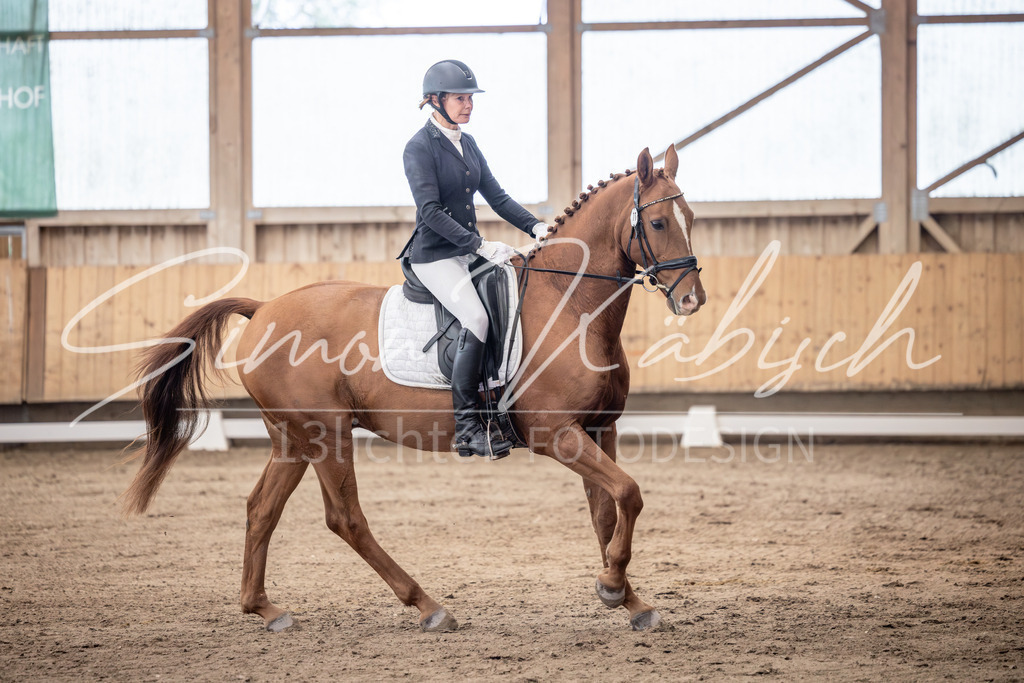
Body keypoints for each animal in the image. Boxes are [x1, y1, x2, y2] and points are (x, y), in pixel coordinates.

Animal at [121, 145, 707, 633]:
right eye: (658, 221)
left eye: (692, 220)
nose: (692, 301)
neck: (570, 304)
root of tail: (264, 308)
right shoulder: (556, 434)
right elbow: (628, 493)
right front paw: (612, 588)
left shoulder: (599, 429)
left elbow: (609, 512)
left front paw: (628, 598)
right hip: (325, 433)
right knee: (345, 518)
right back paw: (428, 607)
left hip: (292, 437)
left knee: (261, 509)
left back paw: (265, 608)